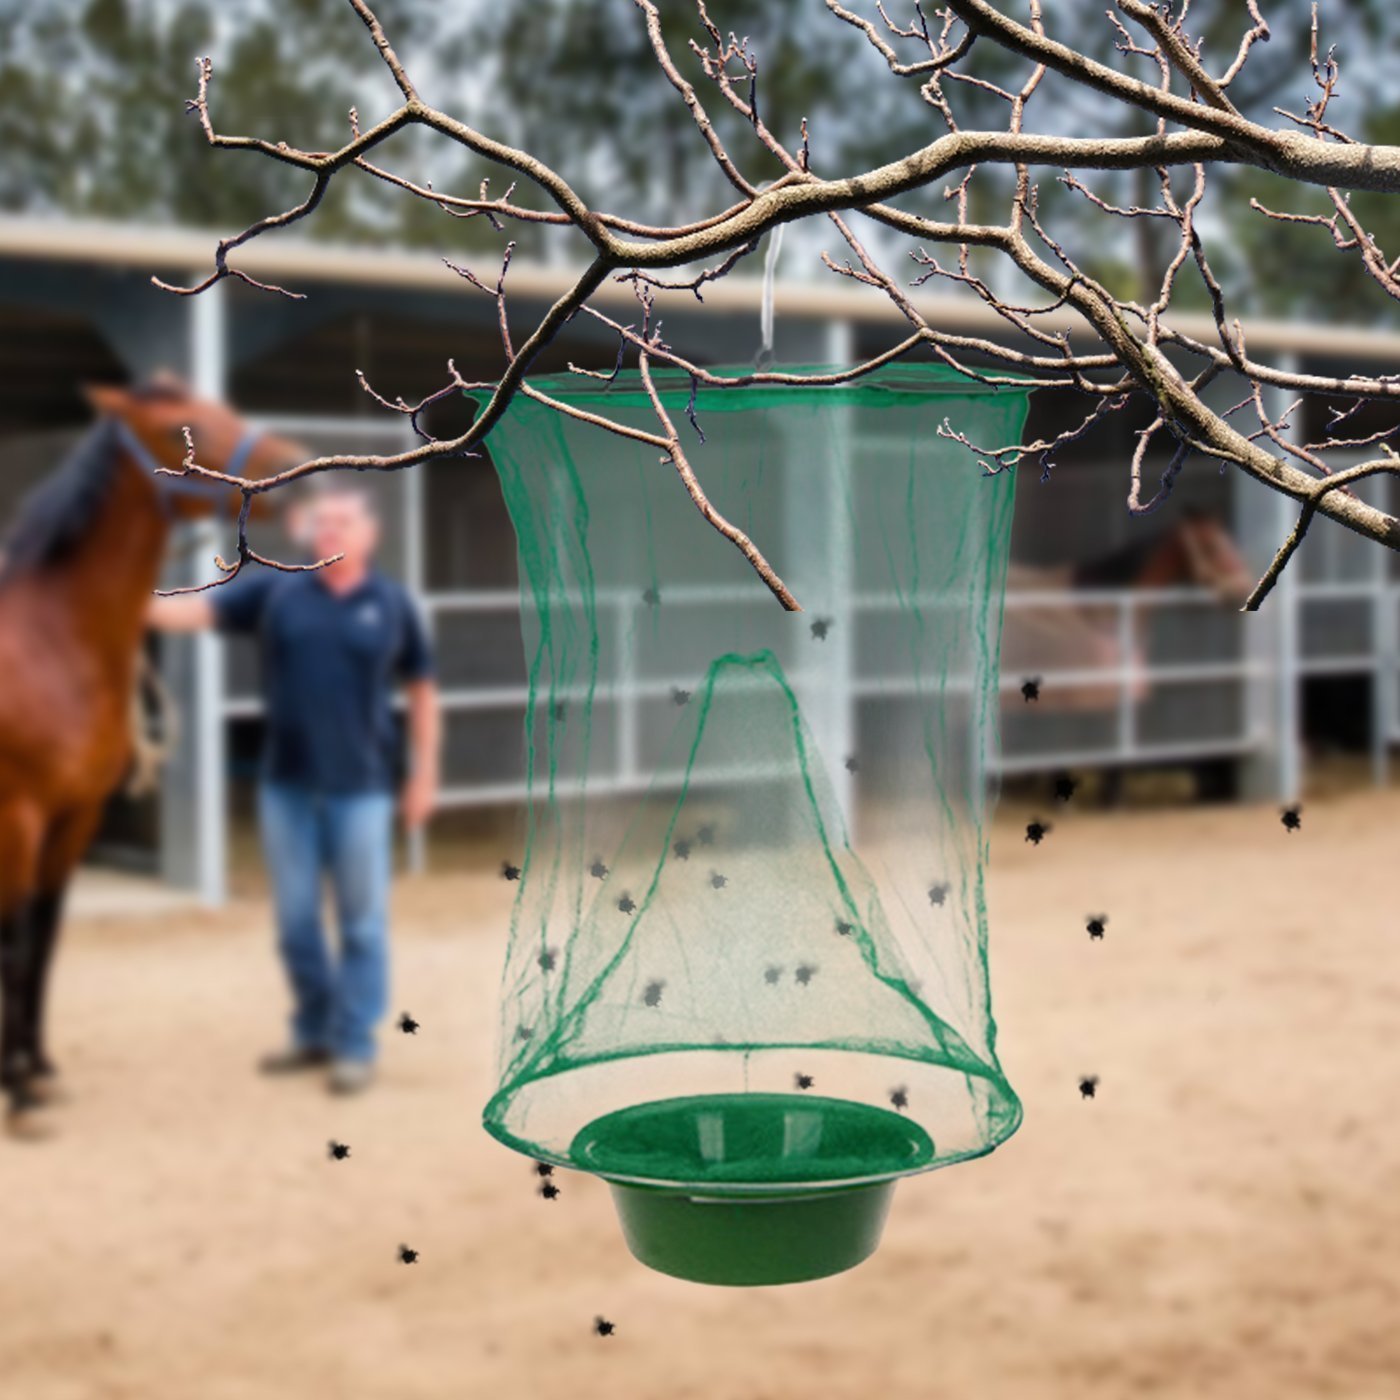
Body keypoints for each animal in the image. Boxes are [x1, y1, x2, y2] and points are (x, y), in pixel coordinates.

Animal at [0, 380, 301, 1136]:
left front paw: (38, 1069)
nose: (295, 468)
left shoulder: (74, 818)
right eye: (178, 430)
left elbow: (43, 942)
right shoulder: (19, 819)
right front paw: (18, 1096)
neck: (49, 645)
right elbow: (15, 946)